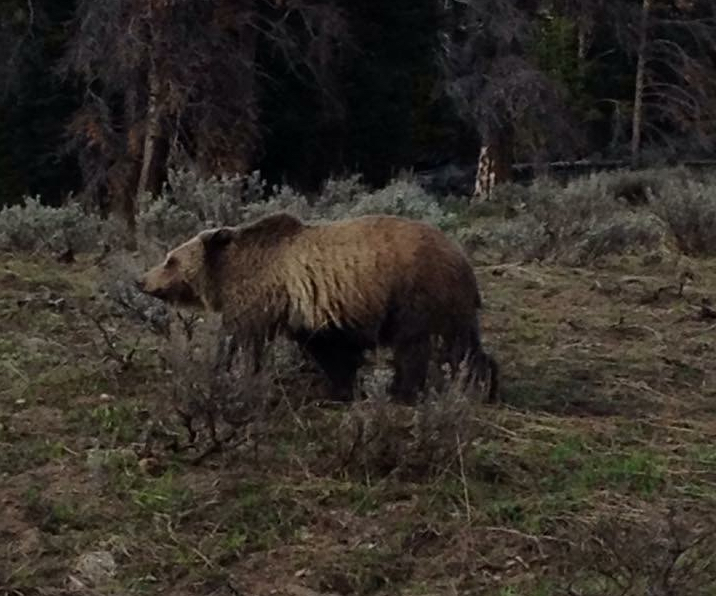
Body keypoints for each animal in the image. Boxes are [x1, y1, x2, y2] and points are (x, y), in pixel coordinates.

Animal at [138, 212, 498, 402]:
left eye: (170, 259)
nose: (142, 280)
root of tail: (461, 258)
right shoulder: (317, 313)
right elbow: (332, 351)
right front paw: (343, 387)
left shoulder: (259, 297)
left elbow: (245, 339)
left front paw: (233, 373)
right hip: (447, 306)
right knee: (465, 346)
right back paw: (484, 384)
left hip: (416, 294)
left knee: (419, 347)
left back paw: (407, 390)